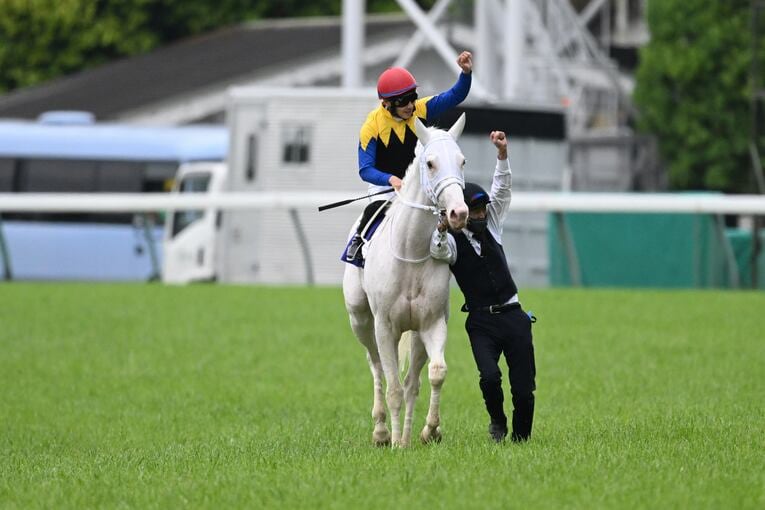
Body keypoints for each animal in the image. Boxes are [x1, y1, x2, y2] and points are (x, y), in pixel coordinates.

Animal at [343, 114, 469, 447]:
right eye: (431, 163)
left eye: (462, 161)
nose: (459, 212)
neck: (410, 251)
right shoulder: (385, 327)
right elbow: (393, 387)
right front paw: (395, 441)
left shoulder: (432, 323)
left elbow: (433, 374)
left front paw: (427, 431)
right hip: (360, 319)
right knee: (375, 367)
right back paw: (381, 431)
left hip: (414, 333)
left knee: (412, 379)